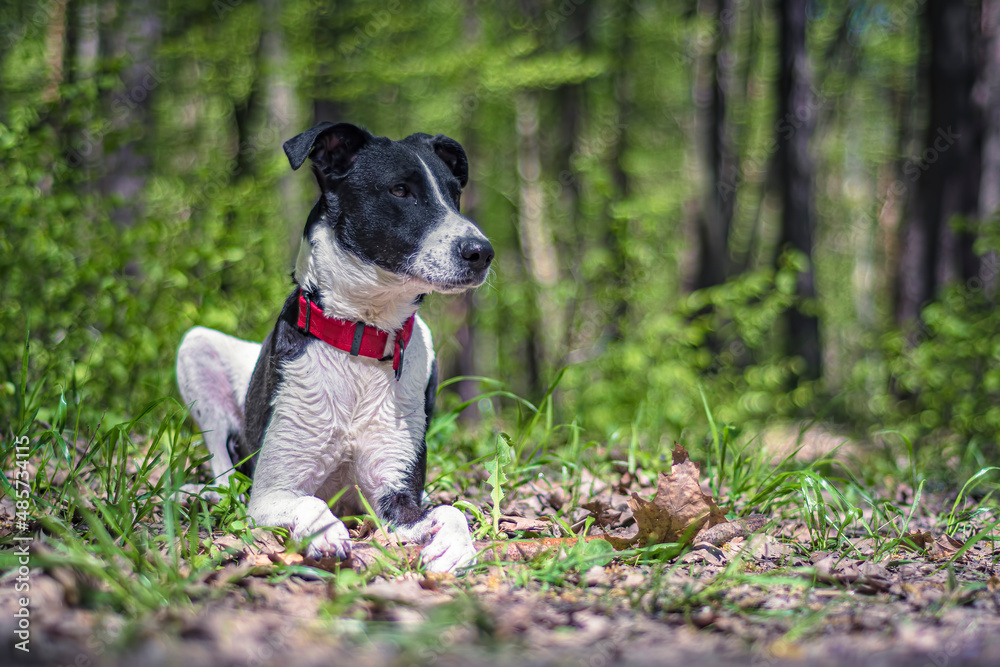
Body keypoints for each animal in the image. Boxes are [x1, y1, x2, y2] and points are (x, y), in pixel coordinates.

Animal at [179, 124, 496, 576]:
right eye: (400, 190)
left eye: (454, 195)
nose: (481, 252)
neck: (362, 334)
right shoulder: (272, 492)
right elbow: (308, 501)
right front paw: (324, 530)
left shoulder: (395, 497)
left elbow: (450, 510)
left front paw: (454, 546)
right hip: (197, 350)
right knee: (224, 471)